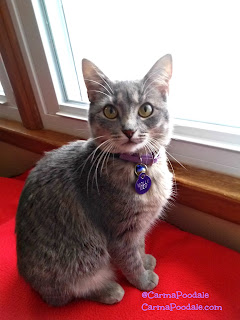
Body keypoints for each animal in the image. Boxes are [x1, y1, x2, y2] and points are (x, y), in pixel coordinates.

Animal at [15, 54, 172, 304]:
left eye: (146, 109)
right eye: (110, 111)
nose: (129, 130)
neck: (137, 165)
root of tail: (32, 283)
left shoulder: (137, 228)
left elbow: (139, 247)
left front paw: (146, 259)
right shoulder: (120, 234)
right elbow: (130, 261)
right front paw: (143, 280)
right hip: (83, 262)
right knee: (72, 292)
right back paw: (110, 290)